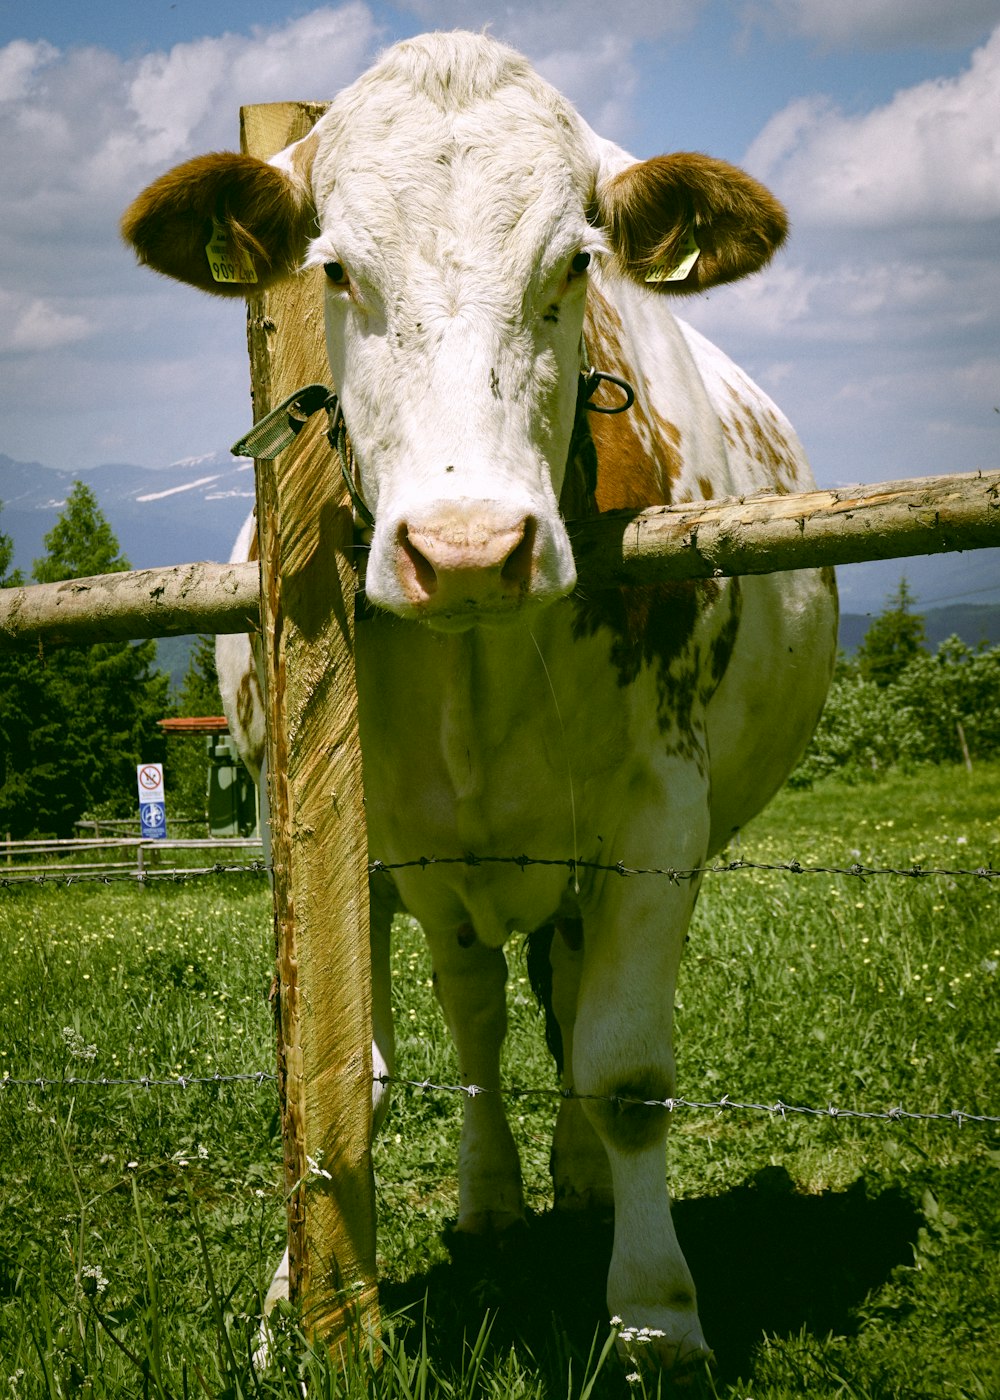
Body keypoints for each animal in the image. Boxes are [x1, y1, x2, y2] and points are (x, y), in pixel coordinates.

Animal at [120, 27, 834, 1372]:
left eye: (576, 262)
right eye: (336, 269)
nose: (464, 548)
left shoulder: (658, 817)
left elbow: (625, 1070)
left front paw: (657, 1312)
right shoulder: (325, 836)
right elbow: (335, 1067)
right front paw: (298, 1297)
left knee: (561, 1002)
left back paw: (579, 1184)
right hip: (443, 871)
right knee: (477, 1014)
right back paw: (491, 1194)